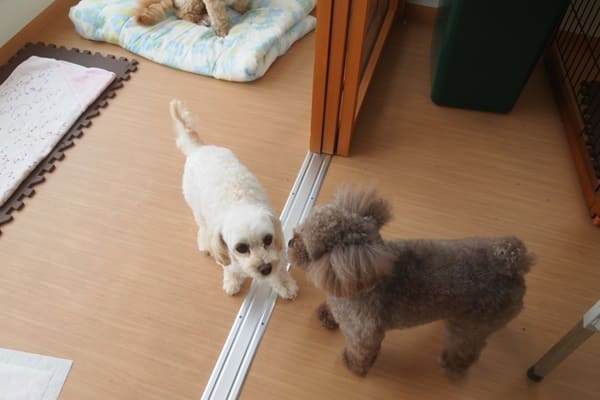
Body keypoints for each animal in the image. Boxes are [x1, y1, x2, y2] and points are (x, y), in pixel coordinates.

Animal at [170, 99, 298, 299]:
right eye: (241, 248)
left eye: (268, 239)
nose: (265, 268)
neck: (241, 203)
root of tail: (198, 148)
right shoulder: (228, 253)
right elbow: (230, 268)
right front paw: (231, 282)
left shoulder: (277, 250)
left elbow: (280, 270)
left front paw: (284, 284)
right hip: (196, 207)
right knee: (202, 226)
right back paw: (204, 243)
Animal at [287, 187, 533, 376]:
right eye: (301, 228)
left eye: (308, 247)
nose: (289, 242)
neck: (363, 282)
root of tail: (511, 263)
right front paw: (326, 314)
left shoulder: (364, 335)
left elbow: (361, 353)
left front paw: (353, 366)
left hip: (470, 328)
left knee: (466, 350)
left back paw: (452, 366)